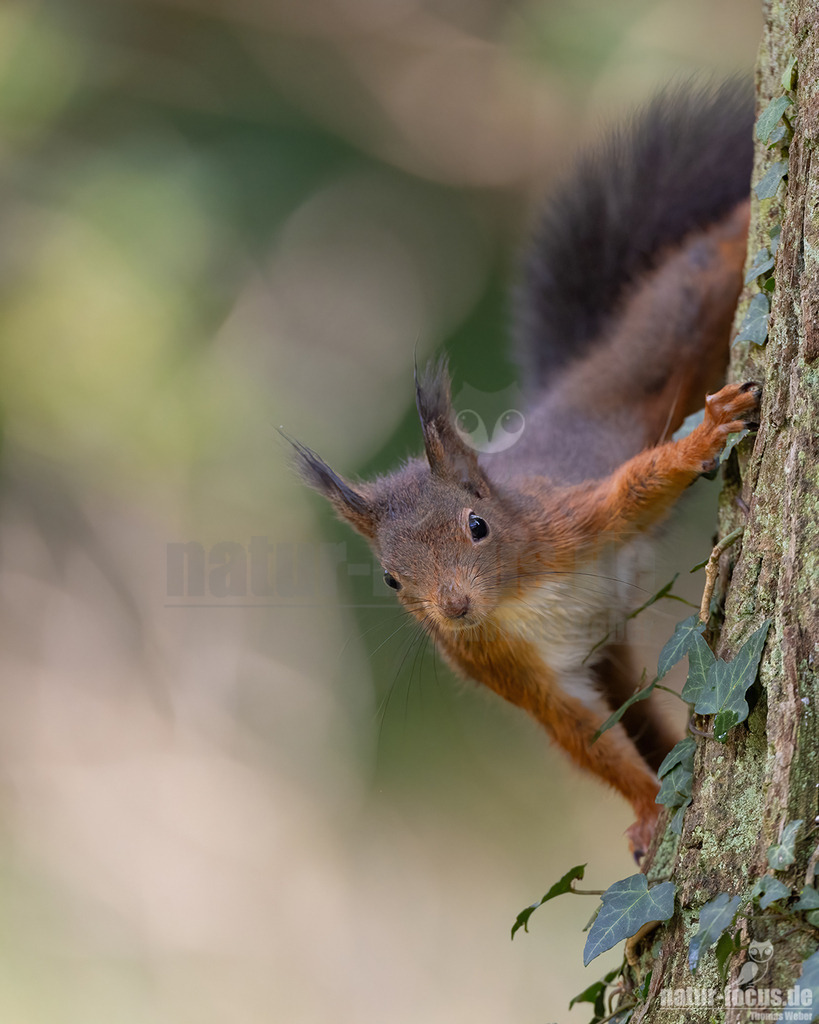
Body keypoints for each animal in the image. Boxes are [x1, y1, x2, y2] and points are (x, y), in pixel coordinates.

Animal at [291, 80, 761, 859]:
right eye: (391, 580)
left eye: (478, 525)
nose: (454, 608)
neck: (513, 598)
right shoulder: (505, 668)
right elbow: (582, 736)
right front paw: (648, 809)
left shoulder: (566, 519)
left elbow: (634, 489)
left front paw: (702, 441)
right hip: (609, 653)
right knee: (631, 708)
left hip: (655, 347)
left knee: (698, 273)